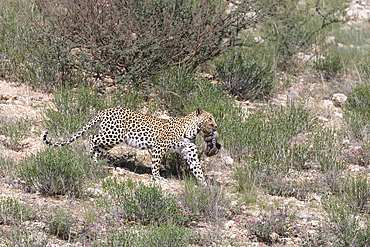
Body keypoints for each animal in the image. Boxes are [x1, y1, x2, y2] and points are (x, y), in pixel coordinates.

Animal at [40, 107, 220, 183]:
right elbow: (156, 164)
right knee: (92, 138)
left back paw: (95, 162)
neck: (192, 130)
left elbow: (197, 168)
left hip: (109, 137)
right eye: (210, 118)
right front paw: (157, 177)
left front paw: (204, 185)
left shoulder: (189, 151)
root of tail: (105, 109)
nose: (216, 126)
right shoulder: (159, 147)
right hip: (114, 135)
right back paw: (90, 159)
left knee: (97, 145)